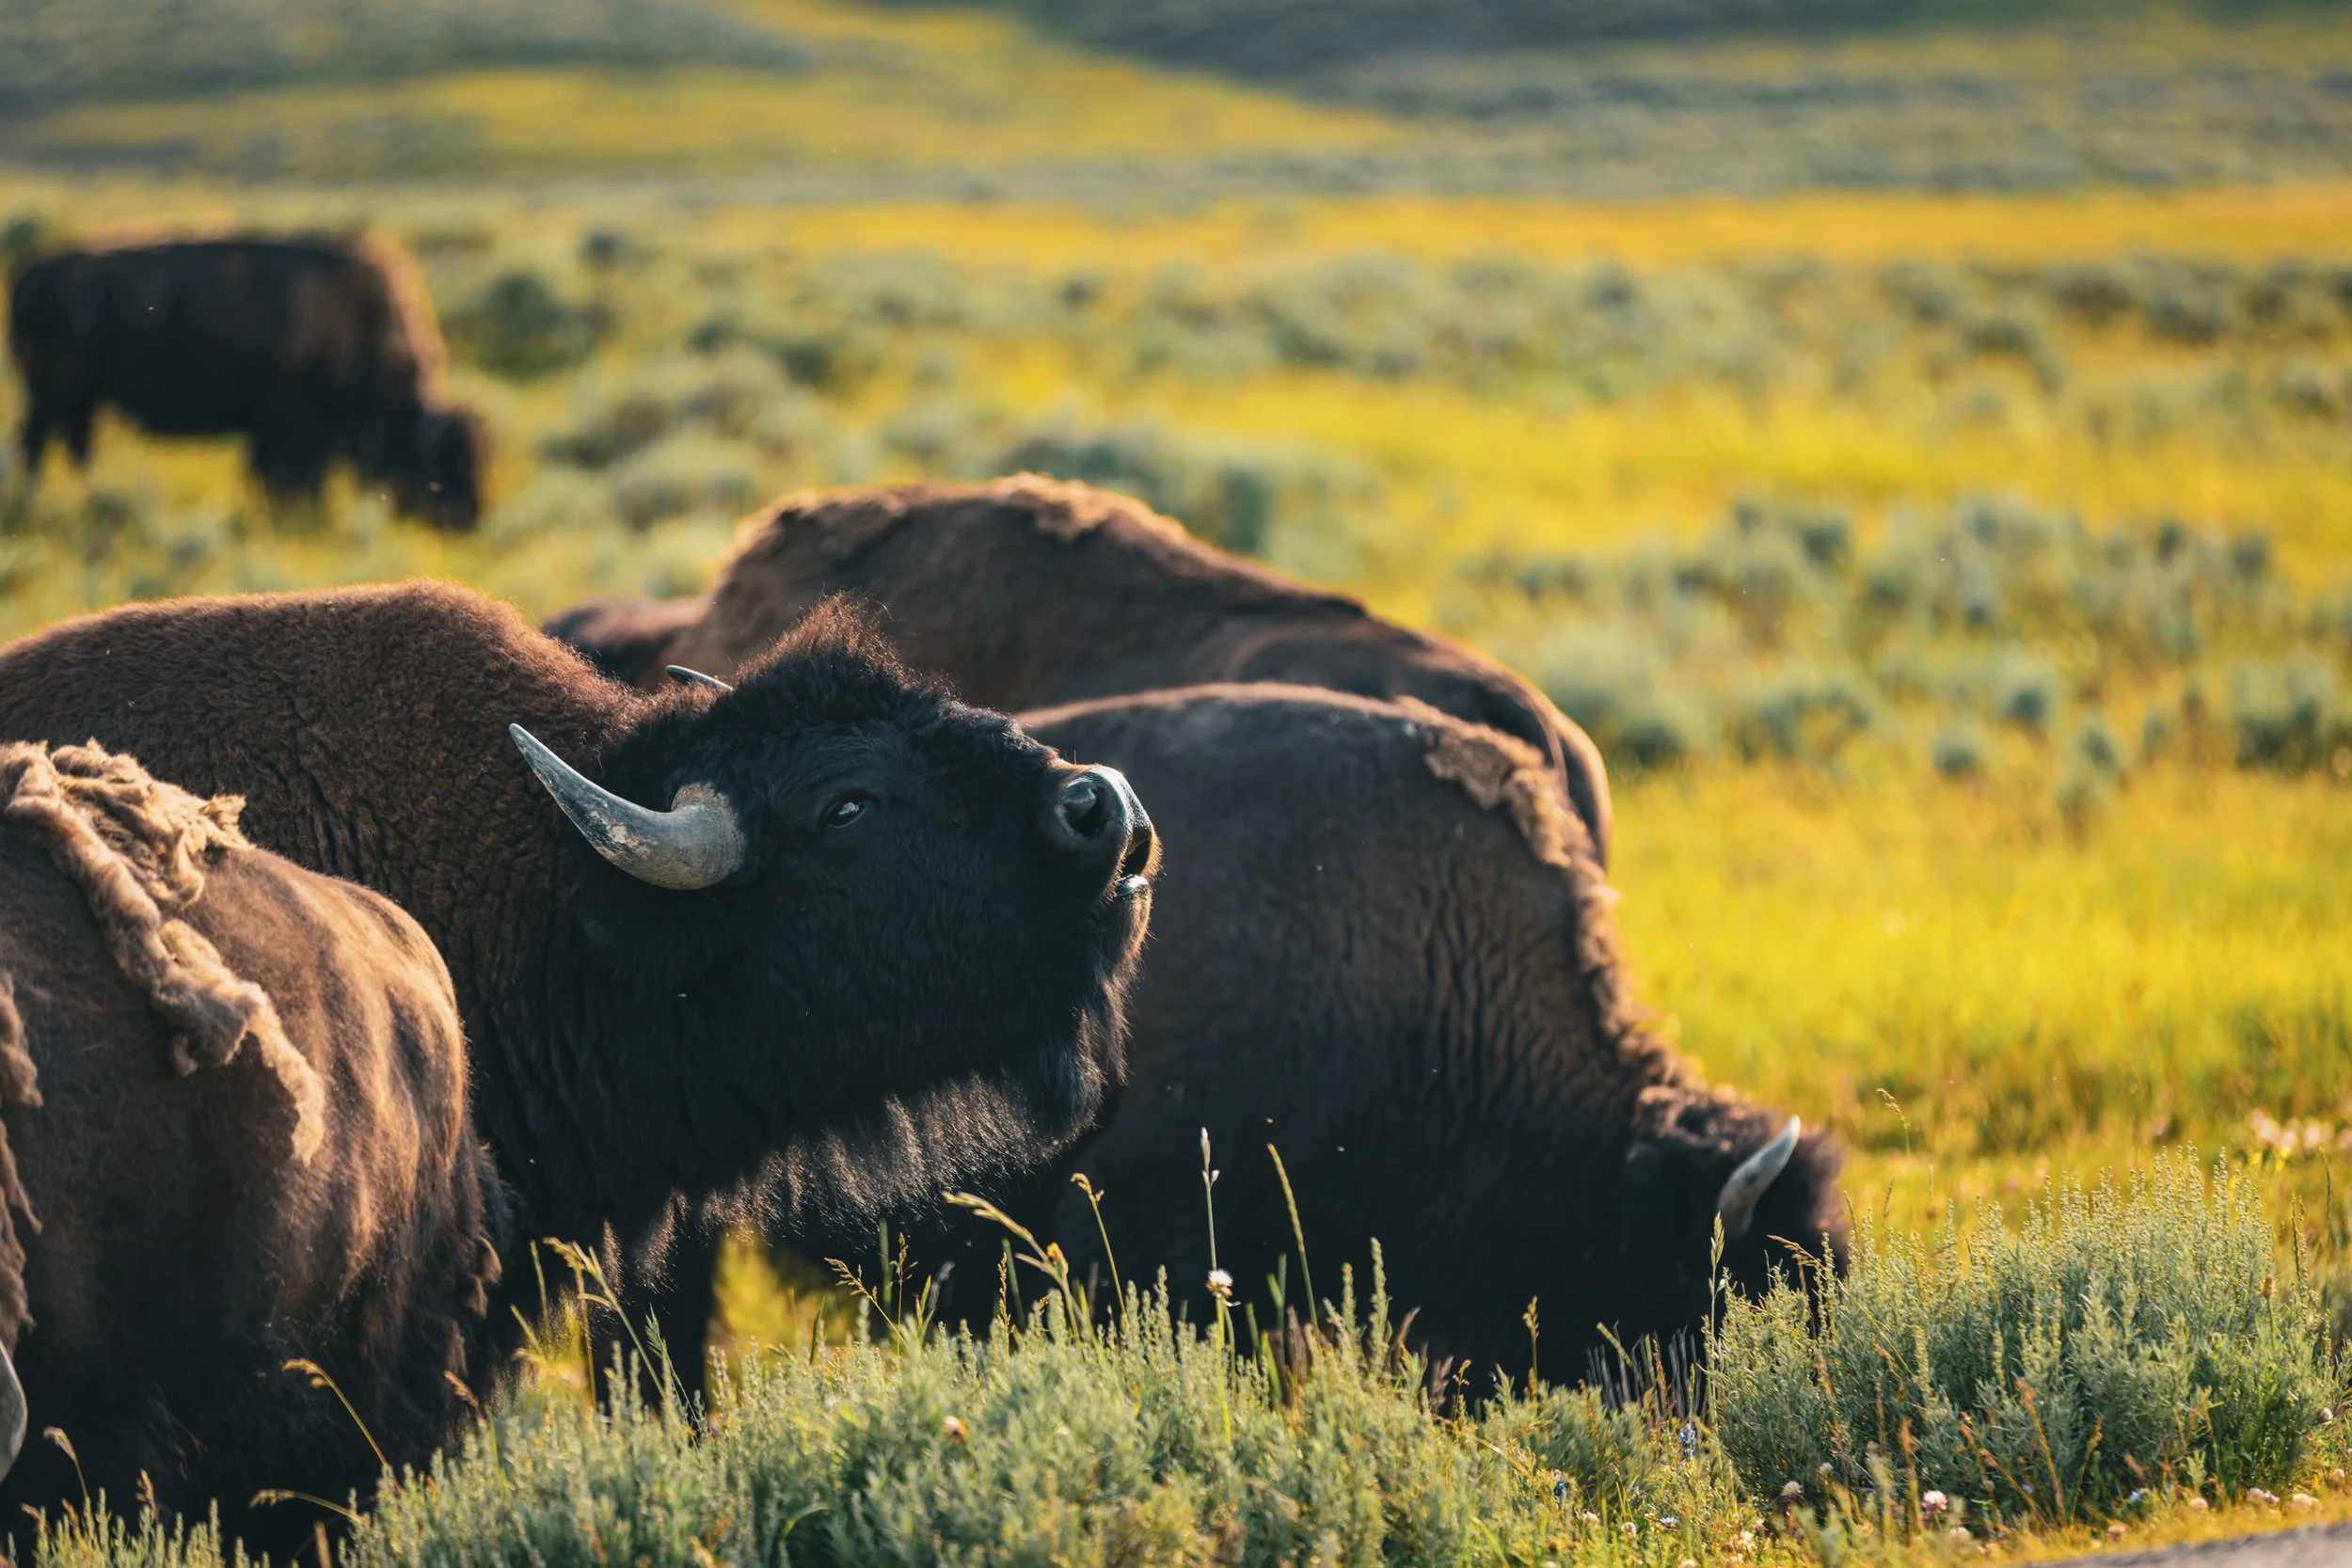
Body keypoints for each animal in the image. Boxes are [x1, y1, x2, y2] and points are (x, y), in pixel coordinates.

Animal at [9, 237, 488, 529]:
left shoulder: (273, 434)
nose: (467, 519)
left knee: (75, 444)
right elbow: (291, 480)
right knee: (38, 442)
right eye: (442, 465)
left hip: (83, 399)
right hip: (56, 393)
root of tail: (28, 277)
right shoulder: (297, 432)